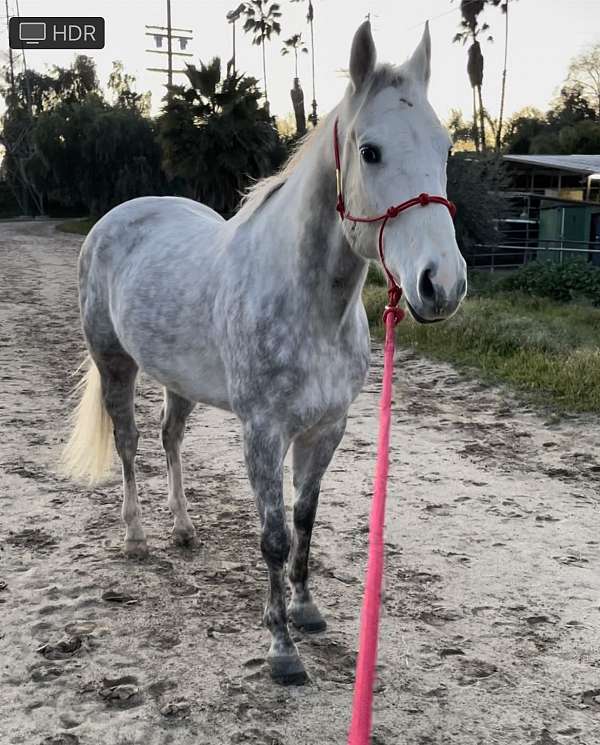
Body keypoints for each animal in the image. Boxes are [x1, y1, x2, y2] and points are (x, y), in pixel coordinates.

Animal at [63, 21, 466, 684]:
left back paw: (183, 529)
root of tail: (115, 219)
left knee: (171, 438)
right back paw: (137, 537)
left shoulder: (326, 429)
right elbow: (274, 536)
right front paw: (281, 647)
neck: (311, 307)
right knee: (129, 443)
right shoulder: (263, 431)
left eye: (445, 147)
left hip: (180, 380)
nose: (443, 285)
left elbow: (304, 519)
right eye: (370, 151)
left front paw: (305, 611)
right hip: (115, 364)